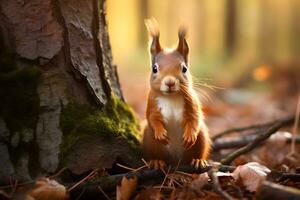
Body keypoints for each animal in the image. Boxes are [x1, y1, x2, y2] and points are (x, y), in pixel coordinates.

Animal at [142, 19, 211, 169]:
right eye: (154, 68)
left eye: (184, 68)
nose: (170, 82)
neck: (170, 98)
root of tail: (176, 161)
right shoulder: (152, 103)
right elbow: (152, 118)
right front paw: (160, 133)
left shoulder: (192, 102)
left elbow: (194, 118)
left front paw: (190, 135)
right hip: (150, 141)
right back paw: (156, 161)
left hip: (202, 138)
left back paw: (198, 160)